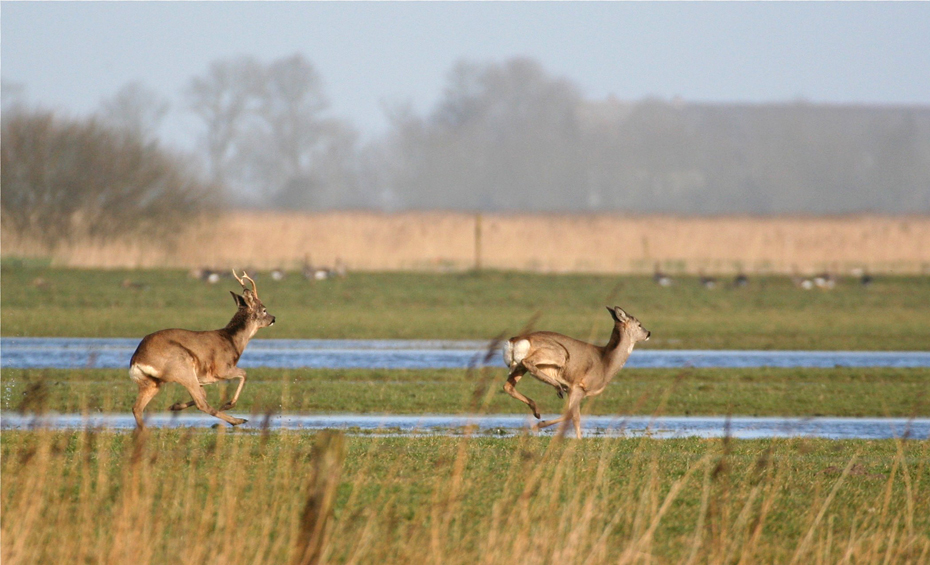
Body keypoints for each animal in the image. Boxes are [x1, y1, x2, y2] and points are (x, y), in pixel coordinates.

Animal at [130, 268, 276, 428]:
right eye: (264, 309)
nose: (273, 319)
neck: (232, 340)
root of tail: (137, 359)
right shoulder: (222, 368)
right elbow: (244, 374)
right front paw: (228, 404)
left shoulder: (202, 377)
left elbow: (205, 393)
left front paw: (175, 405)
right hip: (183, 366)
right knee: (202, 404)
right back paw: (237, 420)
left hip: (152, 381)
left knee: (137, 408)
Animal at [504, 306, 648, 438]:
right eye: (639, 324)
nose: (649, 333)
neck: (606, 362)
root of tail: (515, 340)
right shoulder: (577, 387)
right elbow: (574, 416)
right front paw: (578, 440)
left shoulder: (575, 391)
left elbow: (572, 414)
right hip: (559, 354)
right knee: (527, 363)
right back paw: (556, 389)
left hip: (518, 367)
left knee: (508, 386)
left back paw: (537, 411)